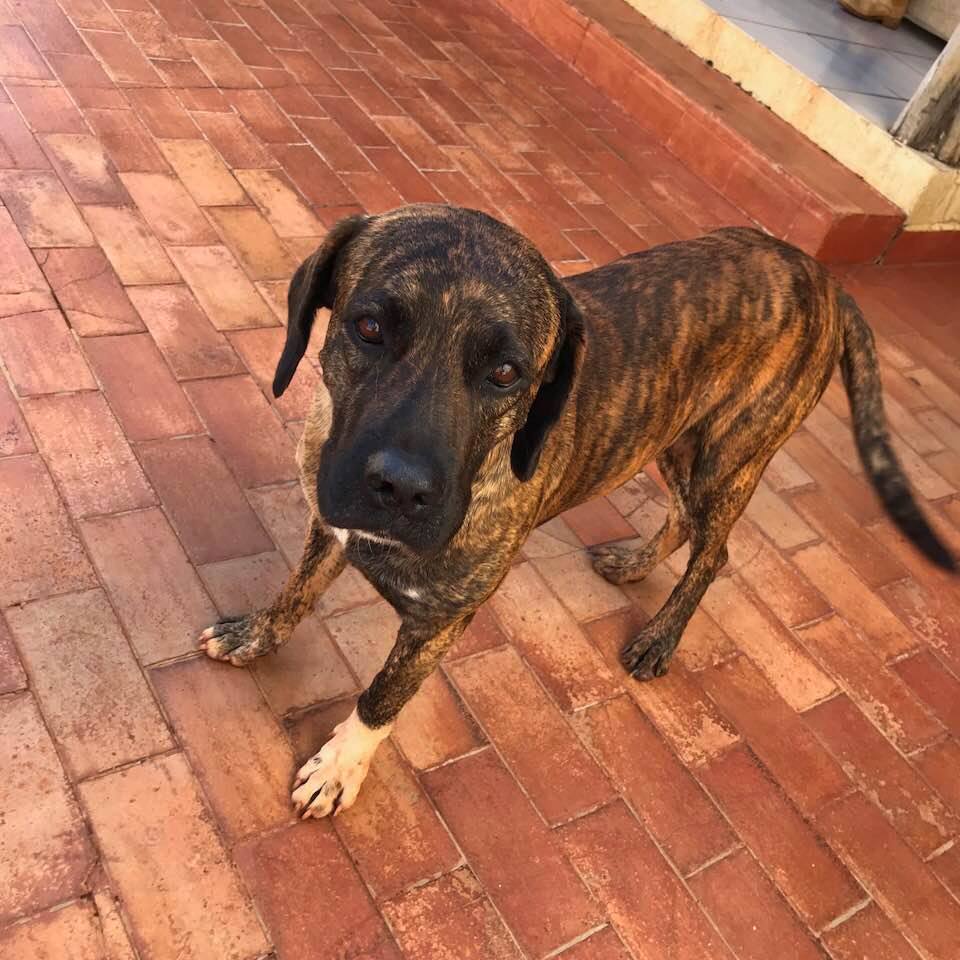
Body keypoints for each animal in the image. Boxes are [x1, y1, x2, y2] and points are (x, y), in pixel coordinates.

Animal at [199, 204, 954, 819]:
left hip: (728, 456)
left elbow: (384, 695)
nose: (401, 489)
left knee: (715, 551)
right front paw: (255, 635)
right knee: (683, 519)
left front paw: (341, 767)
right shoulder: (330, 524)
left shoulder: (440, 621)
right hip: (672, 438)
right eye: (369, 326)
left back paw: (660, 638)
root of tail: (824, 279)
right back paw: (633, 563)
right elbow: (295, 594)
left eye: (506, 373)